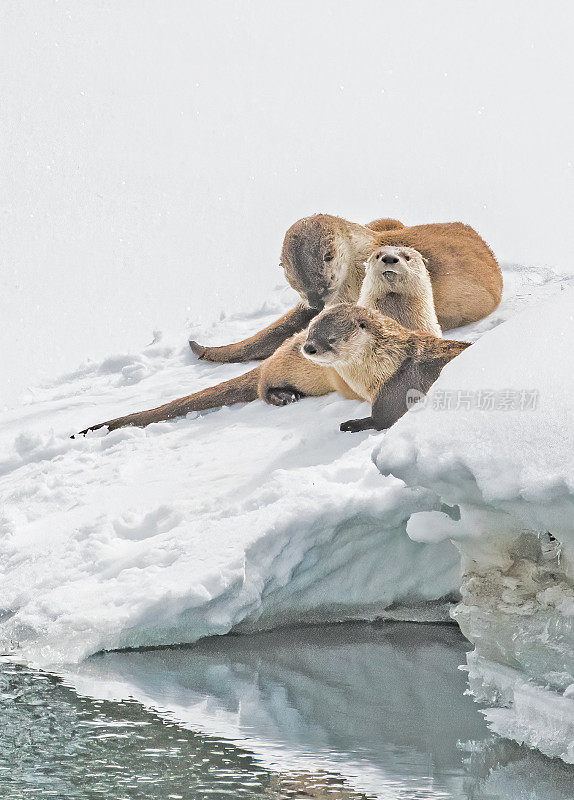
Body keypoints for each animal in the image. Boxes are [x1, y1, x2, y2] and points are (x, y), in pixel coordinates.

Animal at [302, 304, 472, 432]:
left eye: (332, 338)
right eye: (310, 332)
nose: (309, 347)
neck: (388, 364)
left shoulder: (395, 391)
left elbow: (381, 421)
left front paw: (350, 424)